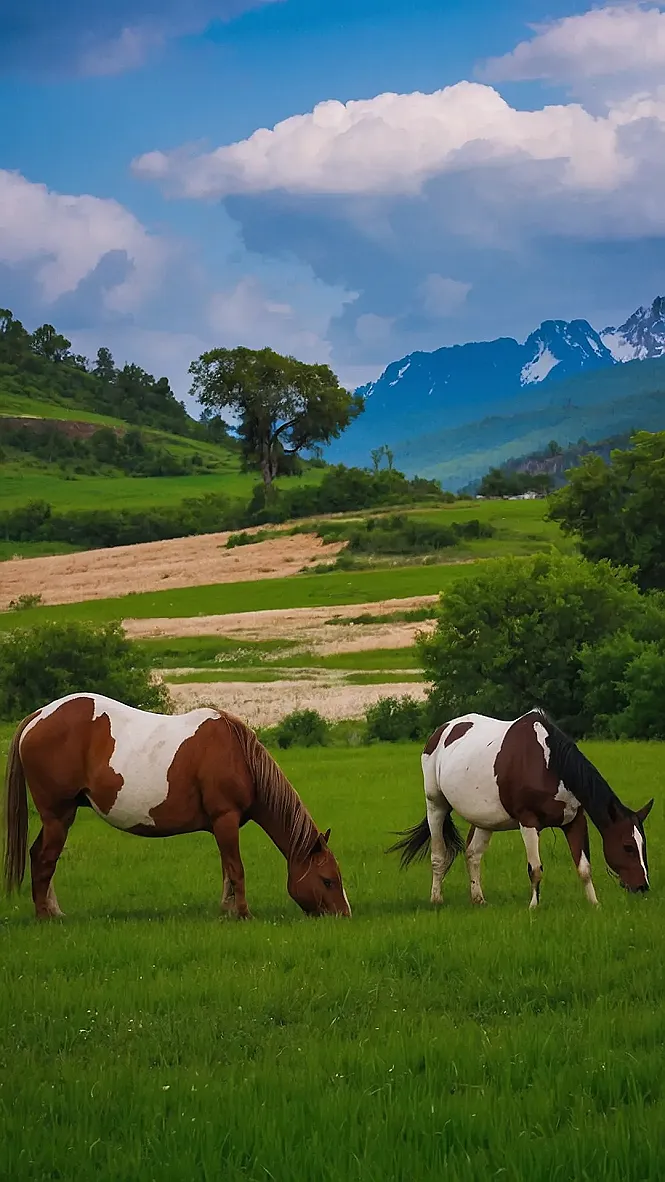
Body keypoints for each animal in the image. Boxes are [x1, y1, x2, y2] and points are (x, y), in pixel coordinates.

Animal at [3, 692, 351, 921]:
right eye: (327, 880)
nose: (344, 915)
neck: (238, 755)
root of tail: (38, 716)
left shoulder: (221, 825)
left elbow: (227, 870)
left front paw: (226, 912)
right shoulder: (226, 818)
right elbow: (236, 869)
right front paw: (242, 914)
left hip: (57, 817)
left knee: (39, 856)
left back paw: (53, 911)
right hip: (58, 815)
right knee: (44, 859)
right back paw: (46, 916)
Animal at [388, 708, 653, 908]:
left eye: (643, 845)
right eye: (627, 847)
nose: (642, 886)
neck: (549, 763)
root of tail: (440, 731)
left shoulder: (574, 821)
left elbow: (584, 868)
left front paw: (594, 904)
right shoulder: (528, 822)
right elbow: (535, 869)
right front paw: (533, 907)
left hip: (484, 819)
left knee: (472, 854)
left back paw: (478, 899)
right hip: (436, 805)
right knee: (438, 854)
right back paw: (436, 898)